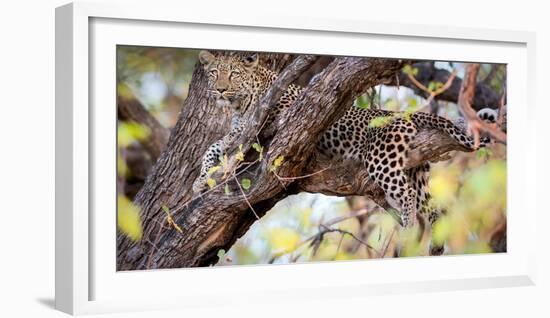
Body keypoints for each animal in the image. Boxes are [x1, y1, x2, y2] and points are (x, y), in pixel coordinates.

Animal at [192, 51, 494, 256]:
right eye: (214, 72)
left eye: (233, 74)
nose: (219, 89)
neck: (240, 102)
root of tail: (403, 115)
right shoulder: (240, 130)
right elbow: (213, 147)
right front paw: (199, 180)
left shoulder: (272, 118)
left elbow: (233, 140)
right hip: (416, 169)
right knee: (433, 208)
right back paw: (436, 245)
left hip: (382, 161)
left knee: (408, 196)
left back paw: (408, 231)